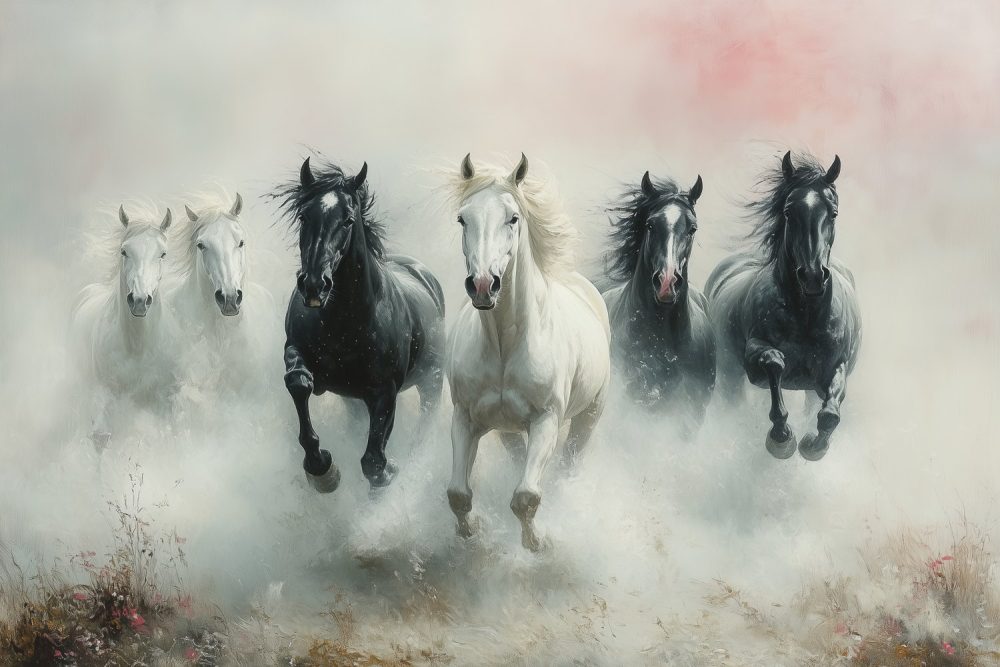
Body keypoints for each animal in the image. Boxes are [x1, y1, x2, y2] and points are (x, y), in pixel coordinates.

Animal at [70, 204, 176, 446]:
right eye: (124, 251)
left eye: (162, 253)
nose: (139, 300)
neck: (137, 347)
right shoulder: (104, 394)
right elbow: (101, 438)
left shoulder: (162, 400)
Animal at [274, 157, 445, 493]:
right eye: (303, 216)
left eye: (348, 220)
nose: (314, 286)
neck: (342, 324)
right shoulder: (295, 350)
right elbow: (298, 382)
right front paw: (321, 467)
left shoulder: (385, 392)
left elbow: (373, 462)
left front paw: (388, 471)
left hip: (432, 381)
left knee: (425, 422)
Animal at [445, 153, 611, 551]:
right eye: (462, 218)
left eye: (513, 218)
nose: (483, 286)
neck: (505, 347)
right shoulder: (466, 418)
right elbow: (458, 493)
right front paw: (471, 531)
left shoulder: (546, 420)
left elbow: (525, 497)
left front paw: (538, 543)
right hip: (506, 430)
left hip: (588, 417)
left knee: (567, 464)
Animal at [705, 151, 862, 461]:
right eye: (789, 212)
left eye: (833, 213)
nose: (812, 276)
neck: (806, 317)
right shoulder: (754, 361)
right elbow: (774, 362)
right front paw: (782, 438)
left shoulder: (834, 369)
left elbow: (830, 415)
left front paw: (814, 445)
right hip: (729, 374)